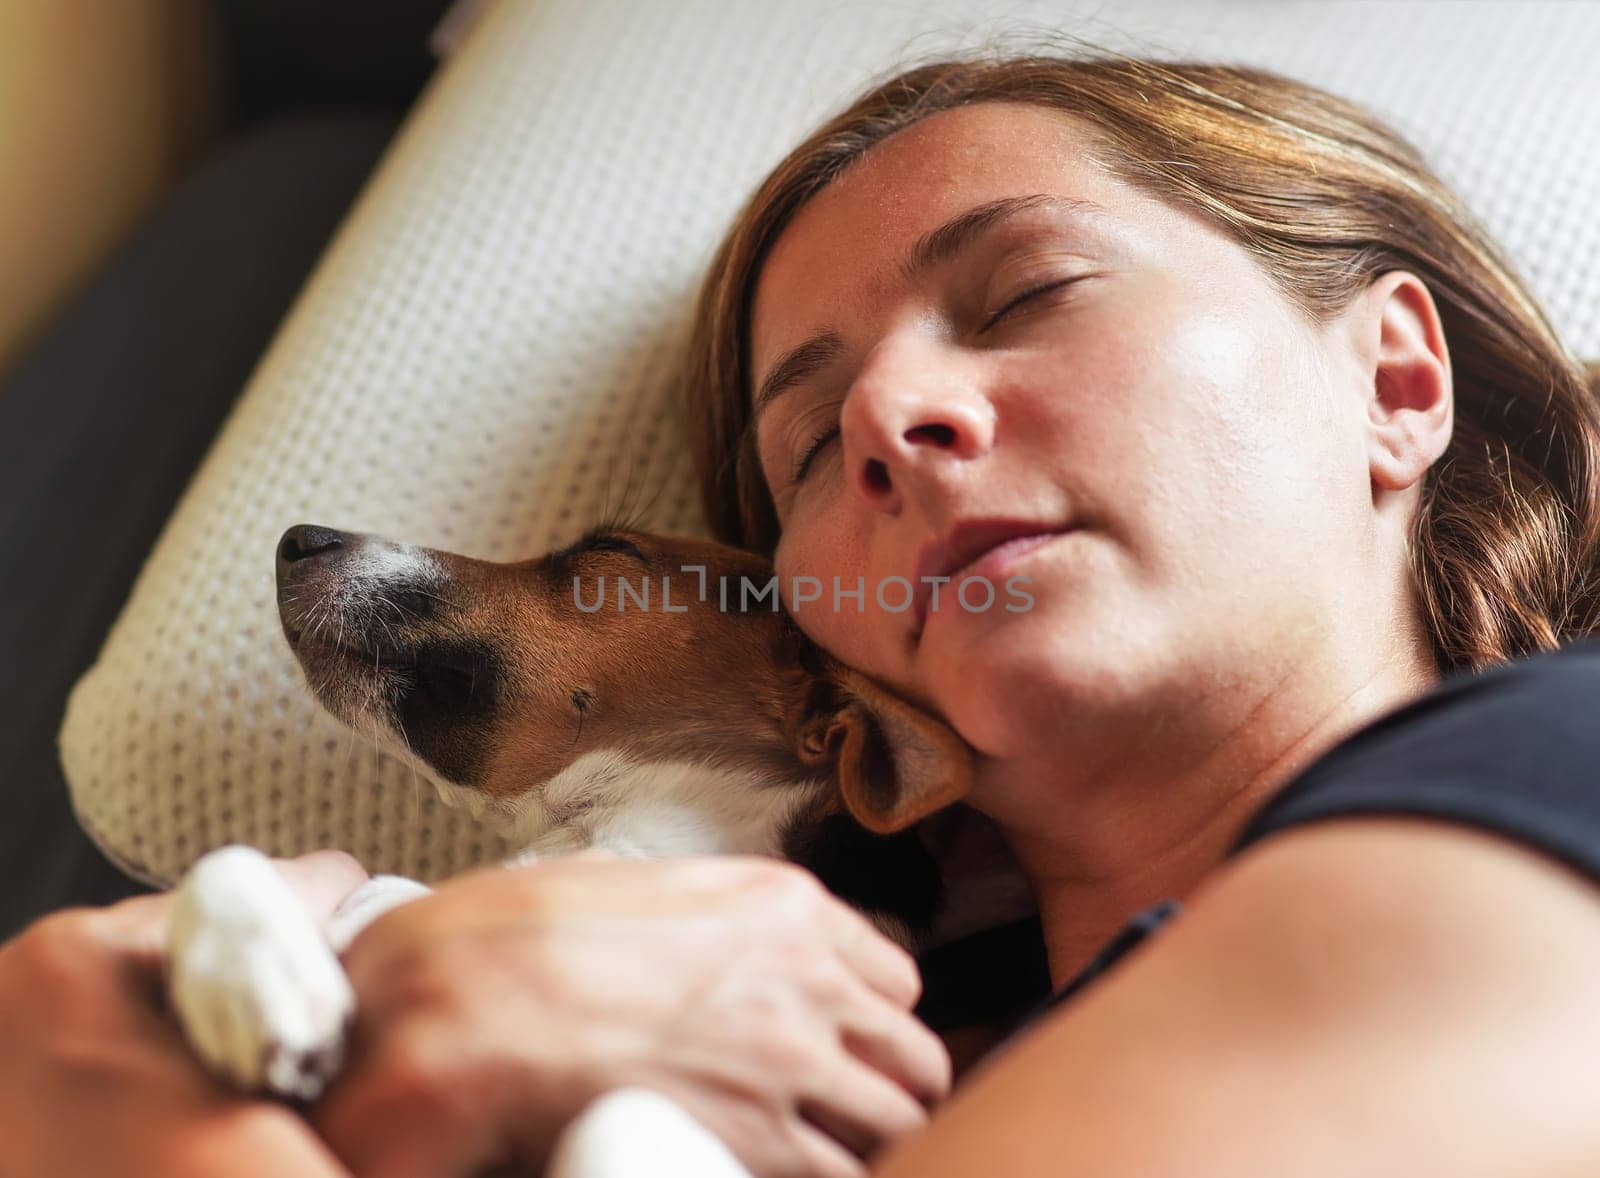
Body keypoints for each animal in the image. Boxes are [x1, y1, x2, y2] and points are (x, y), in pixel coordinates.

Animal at [168, 521, 992, 1171]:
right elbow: (232, 864)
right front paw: (258, 984)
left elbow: (619, 1112)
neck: (599, 846)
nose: (294, 538)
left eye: (609, 549)